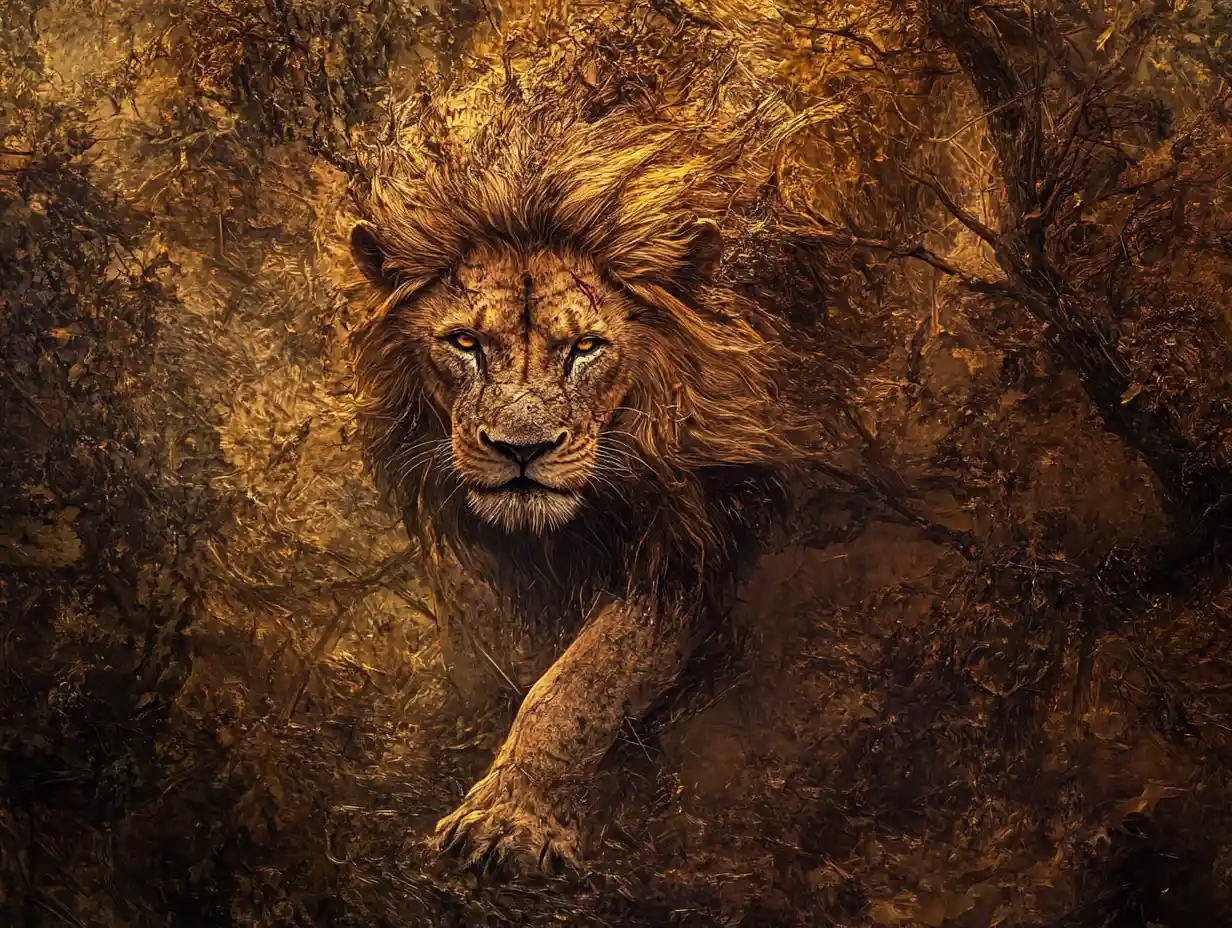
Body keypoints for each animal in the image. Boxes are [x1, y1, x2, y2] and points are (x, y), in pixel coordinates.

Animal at [343, 27, 827, 873]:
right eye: (465, 343)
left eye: (586, 348)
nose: (521, 449)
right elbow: (502, 651)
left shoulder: (689, 532)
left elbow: (577, 686)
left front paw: (508, 820)